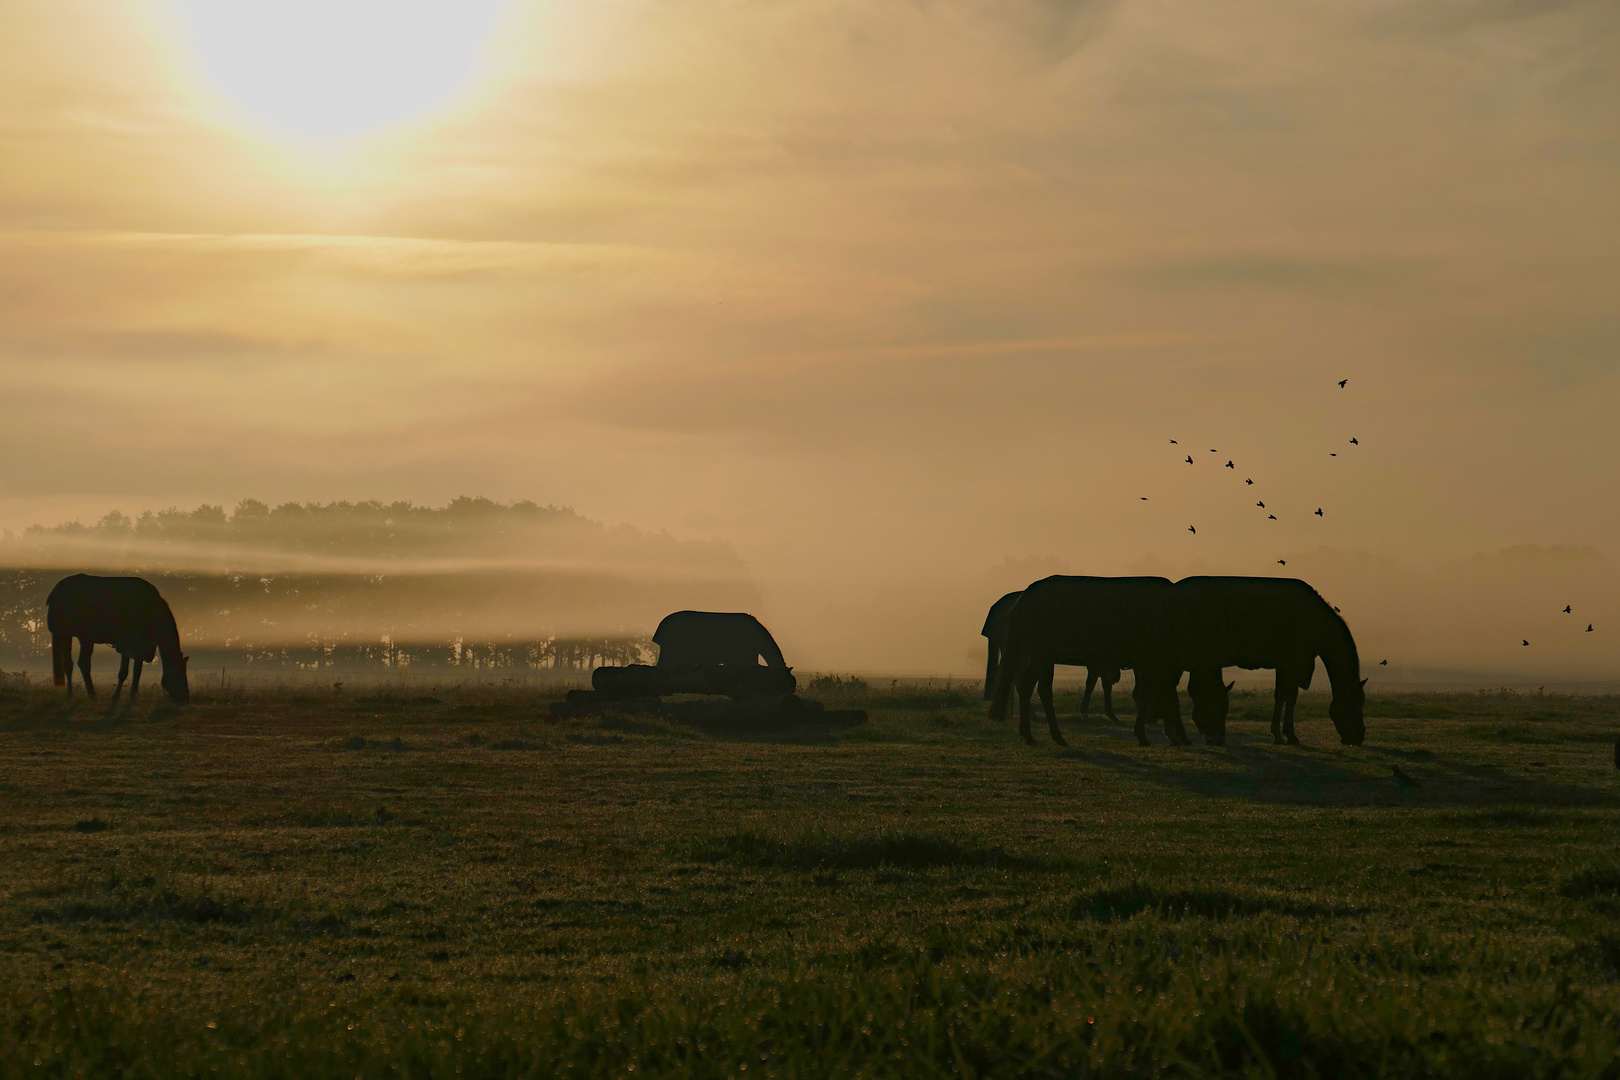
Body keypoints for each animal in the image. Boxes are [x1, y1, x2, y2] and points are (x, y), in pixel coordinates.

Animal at [48, 573, 189, 709]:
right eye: (179, 674)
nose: (185, 699)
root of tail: (55, 592)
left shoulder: (141, 647)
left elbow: (136, 672)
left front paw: (133, 696)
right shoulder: (129, 645)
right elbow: (124, 673)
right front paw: (118, 697)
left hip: (78, 636)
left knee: (76, 663)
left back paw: (83, 695)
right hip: (73, 635)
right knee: (75, 664)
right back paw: (80, 694)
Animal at [1166, 579, 1367, 748]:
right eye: (1353, 705)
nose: (1358, 737)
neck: (1314, 622)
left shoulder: (1286, 665)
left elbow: (1285, 696)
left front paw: (1283, 734)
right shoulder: (1292, 664)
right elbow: (1286, 696)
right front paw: (1285, 735)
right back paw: (1178, 737)